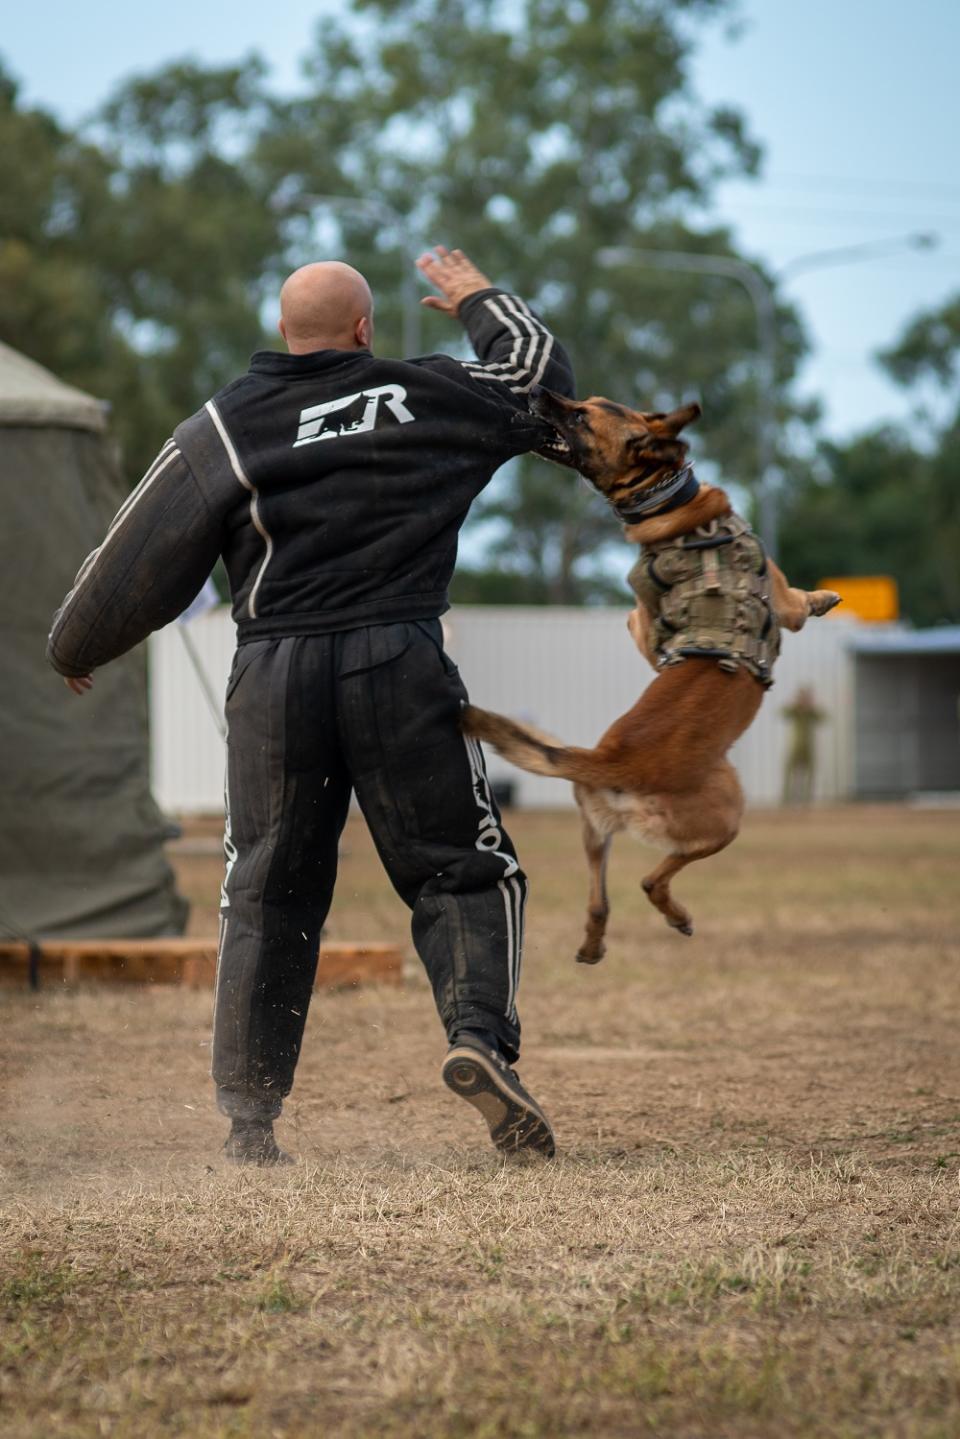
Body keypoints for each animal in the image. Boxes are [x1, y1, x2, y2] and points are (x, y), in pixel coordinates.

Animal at [460, 388, 834, 961]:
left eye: (583, 412)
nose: (537, 393)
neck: (673, 504)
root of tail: (612, 761)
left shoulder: (647, 629)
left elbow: (642, 628)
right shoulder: (776, 601)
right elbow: (795, 603)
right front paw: (823, 598)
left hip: (593, 831)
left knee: (599, 899)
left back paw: (593, 945)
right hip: (728, 812)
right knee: (652, 880)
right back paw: (677, 916)